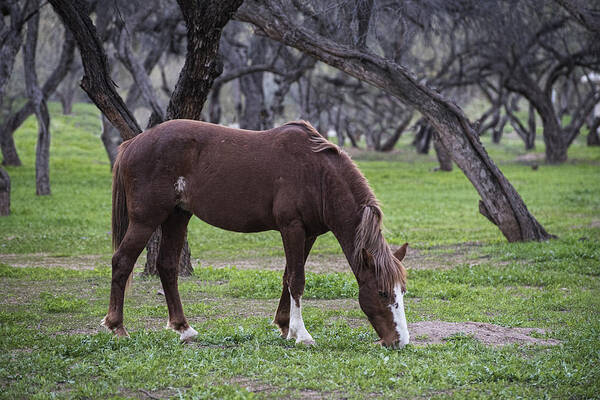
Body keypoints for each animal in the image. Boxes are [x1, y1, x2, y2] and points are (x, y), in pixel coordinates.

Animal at [103, 119, 410, 346]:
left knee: (167, 266)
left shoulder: (308, 234)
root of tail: (133, 143)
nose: (400, 341)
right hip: (146, 220)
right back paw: (117, 327)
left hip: (178, 216)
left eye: (402, 292)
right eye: (382, 293)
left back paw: (184, 329)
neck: (317, 174)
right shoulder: (292, 228)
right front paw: (302, 335)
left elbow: (288, 277)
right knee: (122, 261)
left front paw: (285, 327)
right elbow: (297, 280)